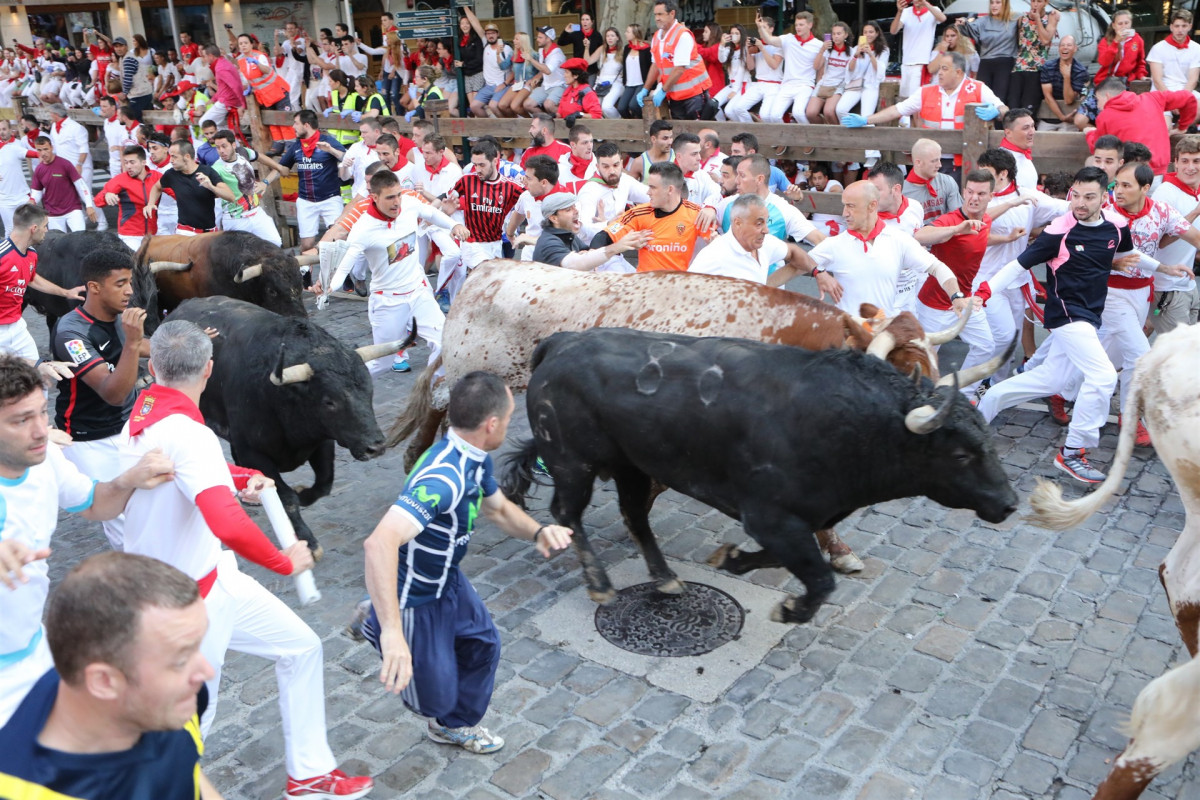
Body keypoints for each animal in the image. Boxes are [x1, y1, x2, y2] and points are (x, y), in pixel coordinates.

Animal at [166, 296, 415, 556]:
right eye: (329, 401)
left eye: (369, 389)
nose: (375, 447)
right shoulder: (256, 453)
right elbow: (285, 497)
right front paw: (308, 541)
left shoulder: (323, 440)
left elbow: (324, 483)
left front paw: (302, 493)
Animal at [388, 262, 969, 575]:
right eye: (899, 379)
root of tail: (491, 268)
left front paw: (839, 551)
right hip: (474, 368)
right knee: (441, 404)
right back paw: (417, 461)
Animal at [501, 331, 1017, 623]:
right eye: (960, 453)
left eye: (988, 436)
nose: (1009, 502)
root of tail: (562, 342)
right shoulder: (771, 516)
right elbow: (819, 578)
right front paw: (792, 609)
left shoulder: (798, 519)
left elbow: (784, 559)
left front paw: (731, 559)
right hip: (573, 462)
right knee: (567, 513)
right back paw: (602, 584)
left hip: (632, 463)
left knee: (633, 514)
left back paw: (666, 578)